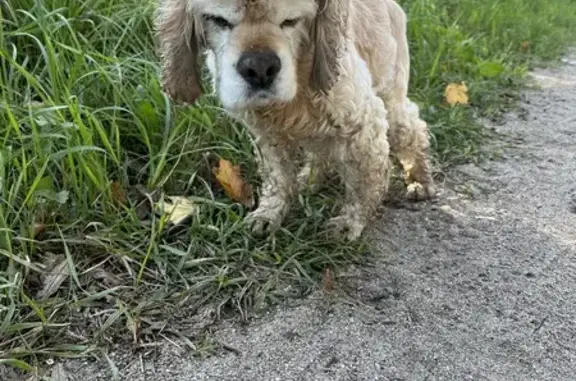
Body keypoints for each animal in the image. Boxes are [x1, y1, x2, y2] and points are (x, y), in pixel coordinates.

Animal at [155, 0, 434, 239]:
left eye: (290, 21)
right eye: (218, 20)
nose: (260, 67)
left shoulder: (364, 125)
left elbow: (362, 184)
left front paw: (350, 223)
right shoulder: (267, 135)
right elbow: (278, 178)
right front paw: (269, 214)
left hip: (391, 99)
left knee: (413, 129)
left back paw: (419, 181)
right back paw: (309, 180)